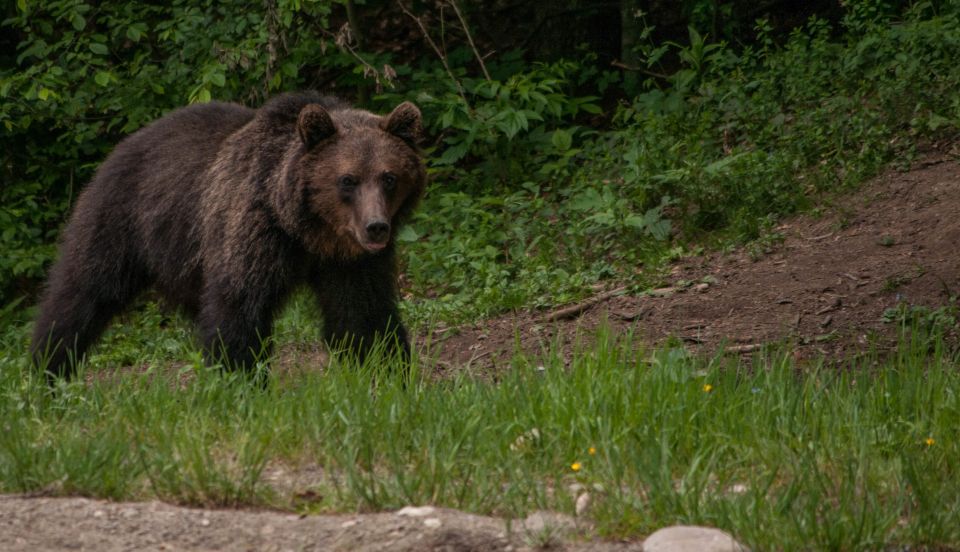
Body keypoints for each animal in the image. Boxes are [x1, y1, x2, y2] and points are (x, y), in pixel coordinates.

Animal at [30, 91, 424, 384]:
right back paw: (48, 368)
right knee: (83, 291)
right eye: (348, 180)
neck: (308, 231)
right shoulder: (253, 228)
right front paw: (241, 380)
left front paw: (389, 374)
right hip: (121, 218)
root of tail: (126, 142)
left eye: (389, 177)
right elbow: (238, 304)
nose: (376, 226)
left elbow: (363, 313)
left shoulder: (351, 262)